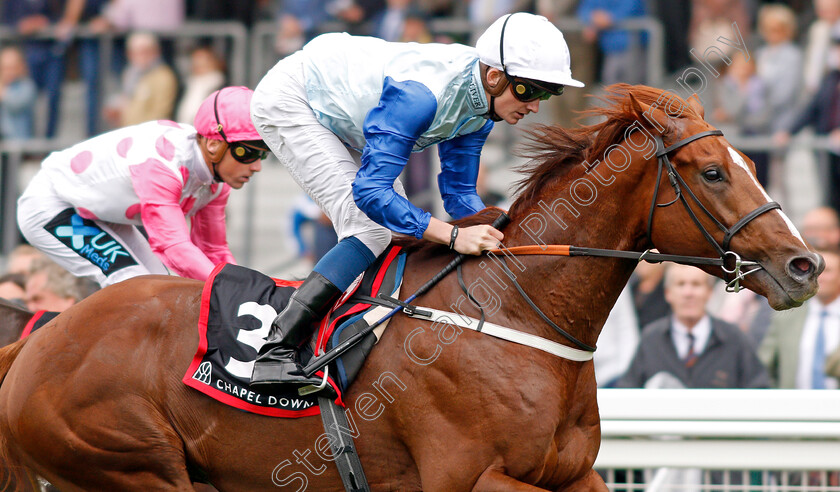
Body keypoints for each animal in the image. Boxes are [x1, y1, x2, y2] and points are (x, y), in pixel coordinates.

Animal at [0, 86, 824, 490]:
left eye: (752, 163)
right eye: (712, 172)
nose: (805, 266)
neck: (515, 317)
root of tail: (39, 341)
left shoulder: (571, 477)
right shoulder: (464, 477)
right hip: (130, 465)